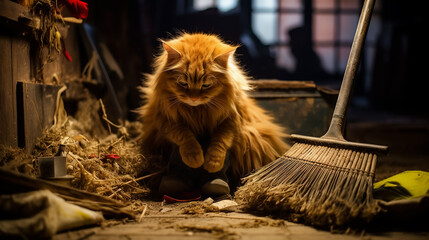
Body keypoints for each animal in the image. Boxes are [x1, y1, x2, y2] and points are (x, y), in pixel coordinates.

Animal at [139, 33, 290, 184]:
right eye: (183, 83)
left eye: (206, 85)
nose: (193, 98)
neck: (197, 111)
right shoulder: (165, 120)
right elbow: (185, 136)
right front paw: (195, 158)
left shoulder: (232, 121)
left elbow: (220, 141)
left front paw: (213, 164)